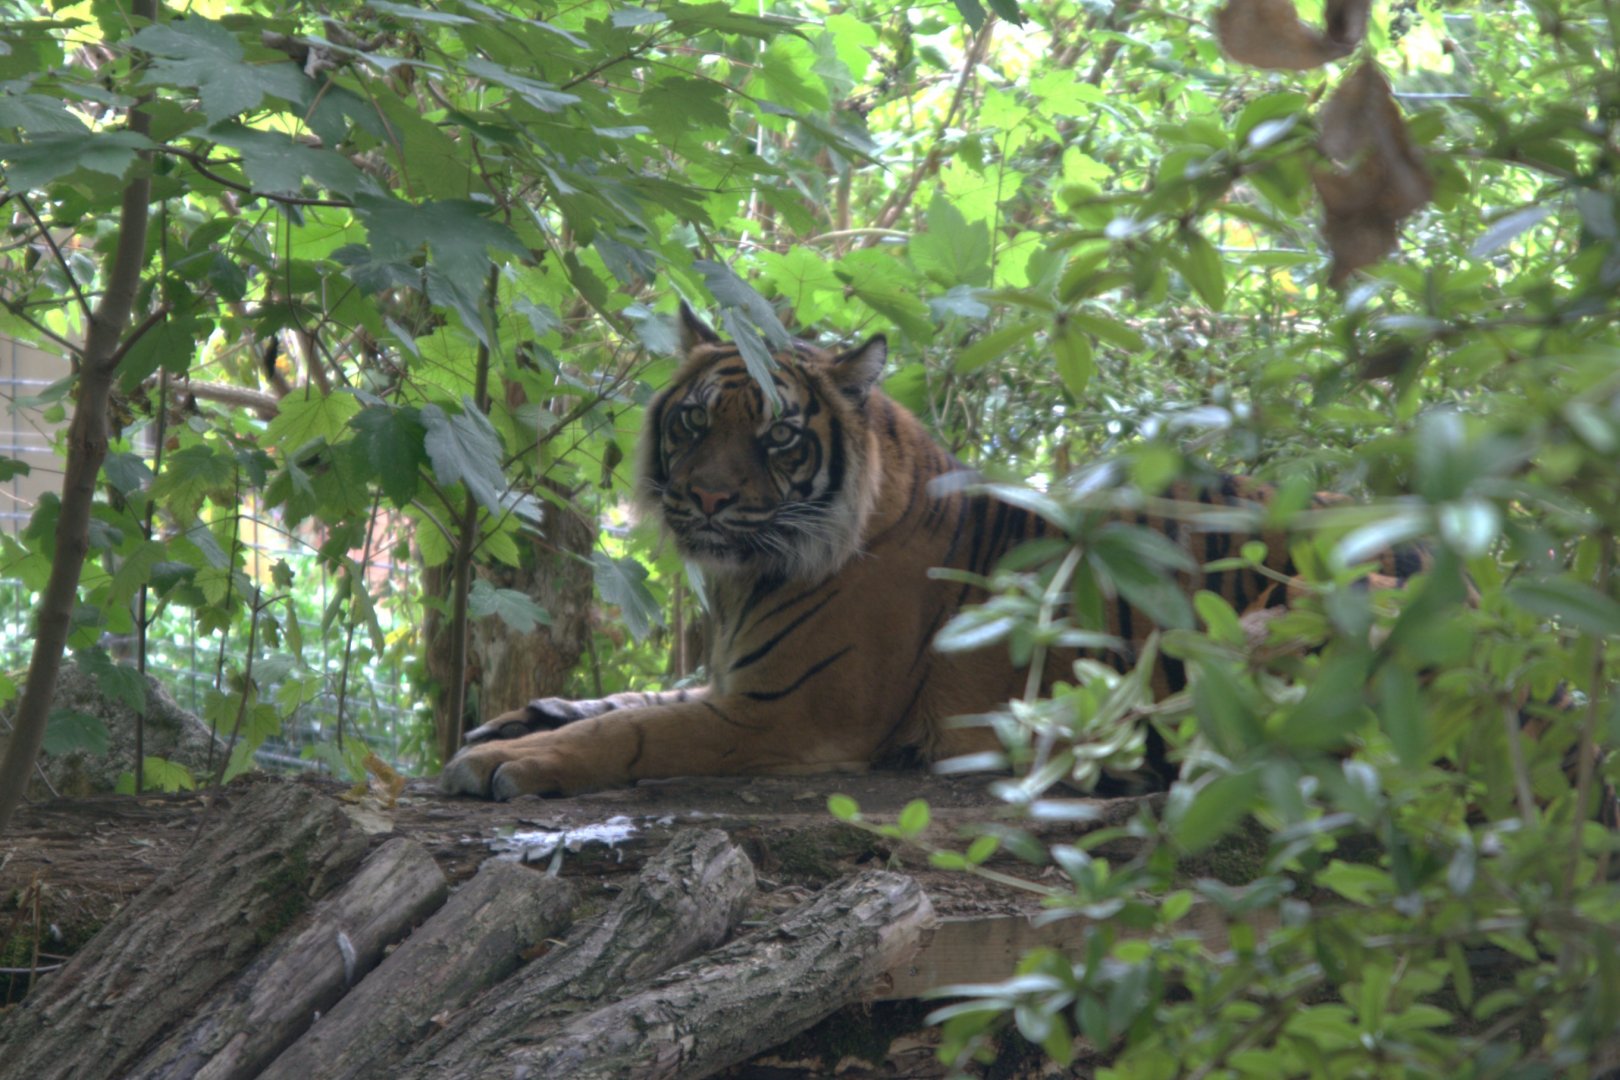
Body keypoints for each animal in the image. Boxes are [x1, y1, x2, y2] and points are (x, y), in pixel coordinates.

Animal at [439, 304, 1415, 800]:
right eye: (695, 423)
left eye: (777, 437)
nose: (708, 498)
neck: (747, 578)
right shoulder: (735, 678)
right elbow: (633, 695)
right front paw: (519, 719)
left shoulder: (784, 712)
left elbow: (638, 728)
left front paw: (508, 762)